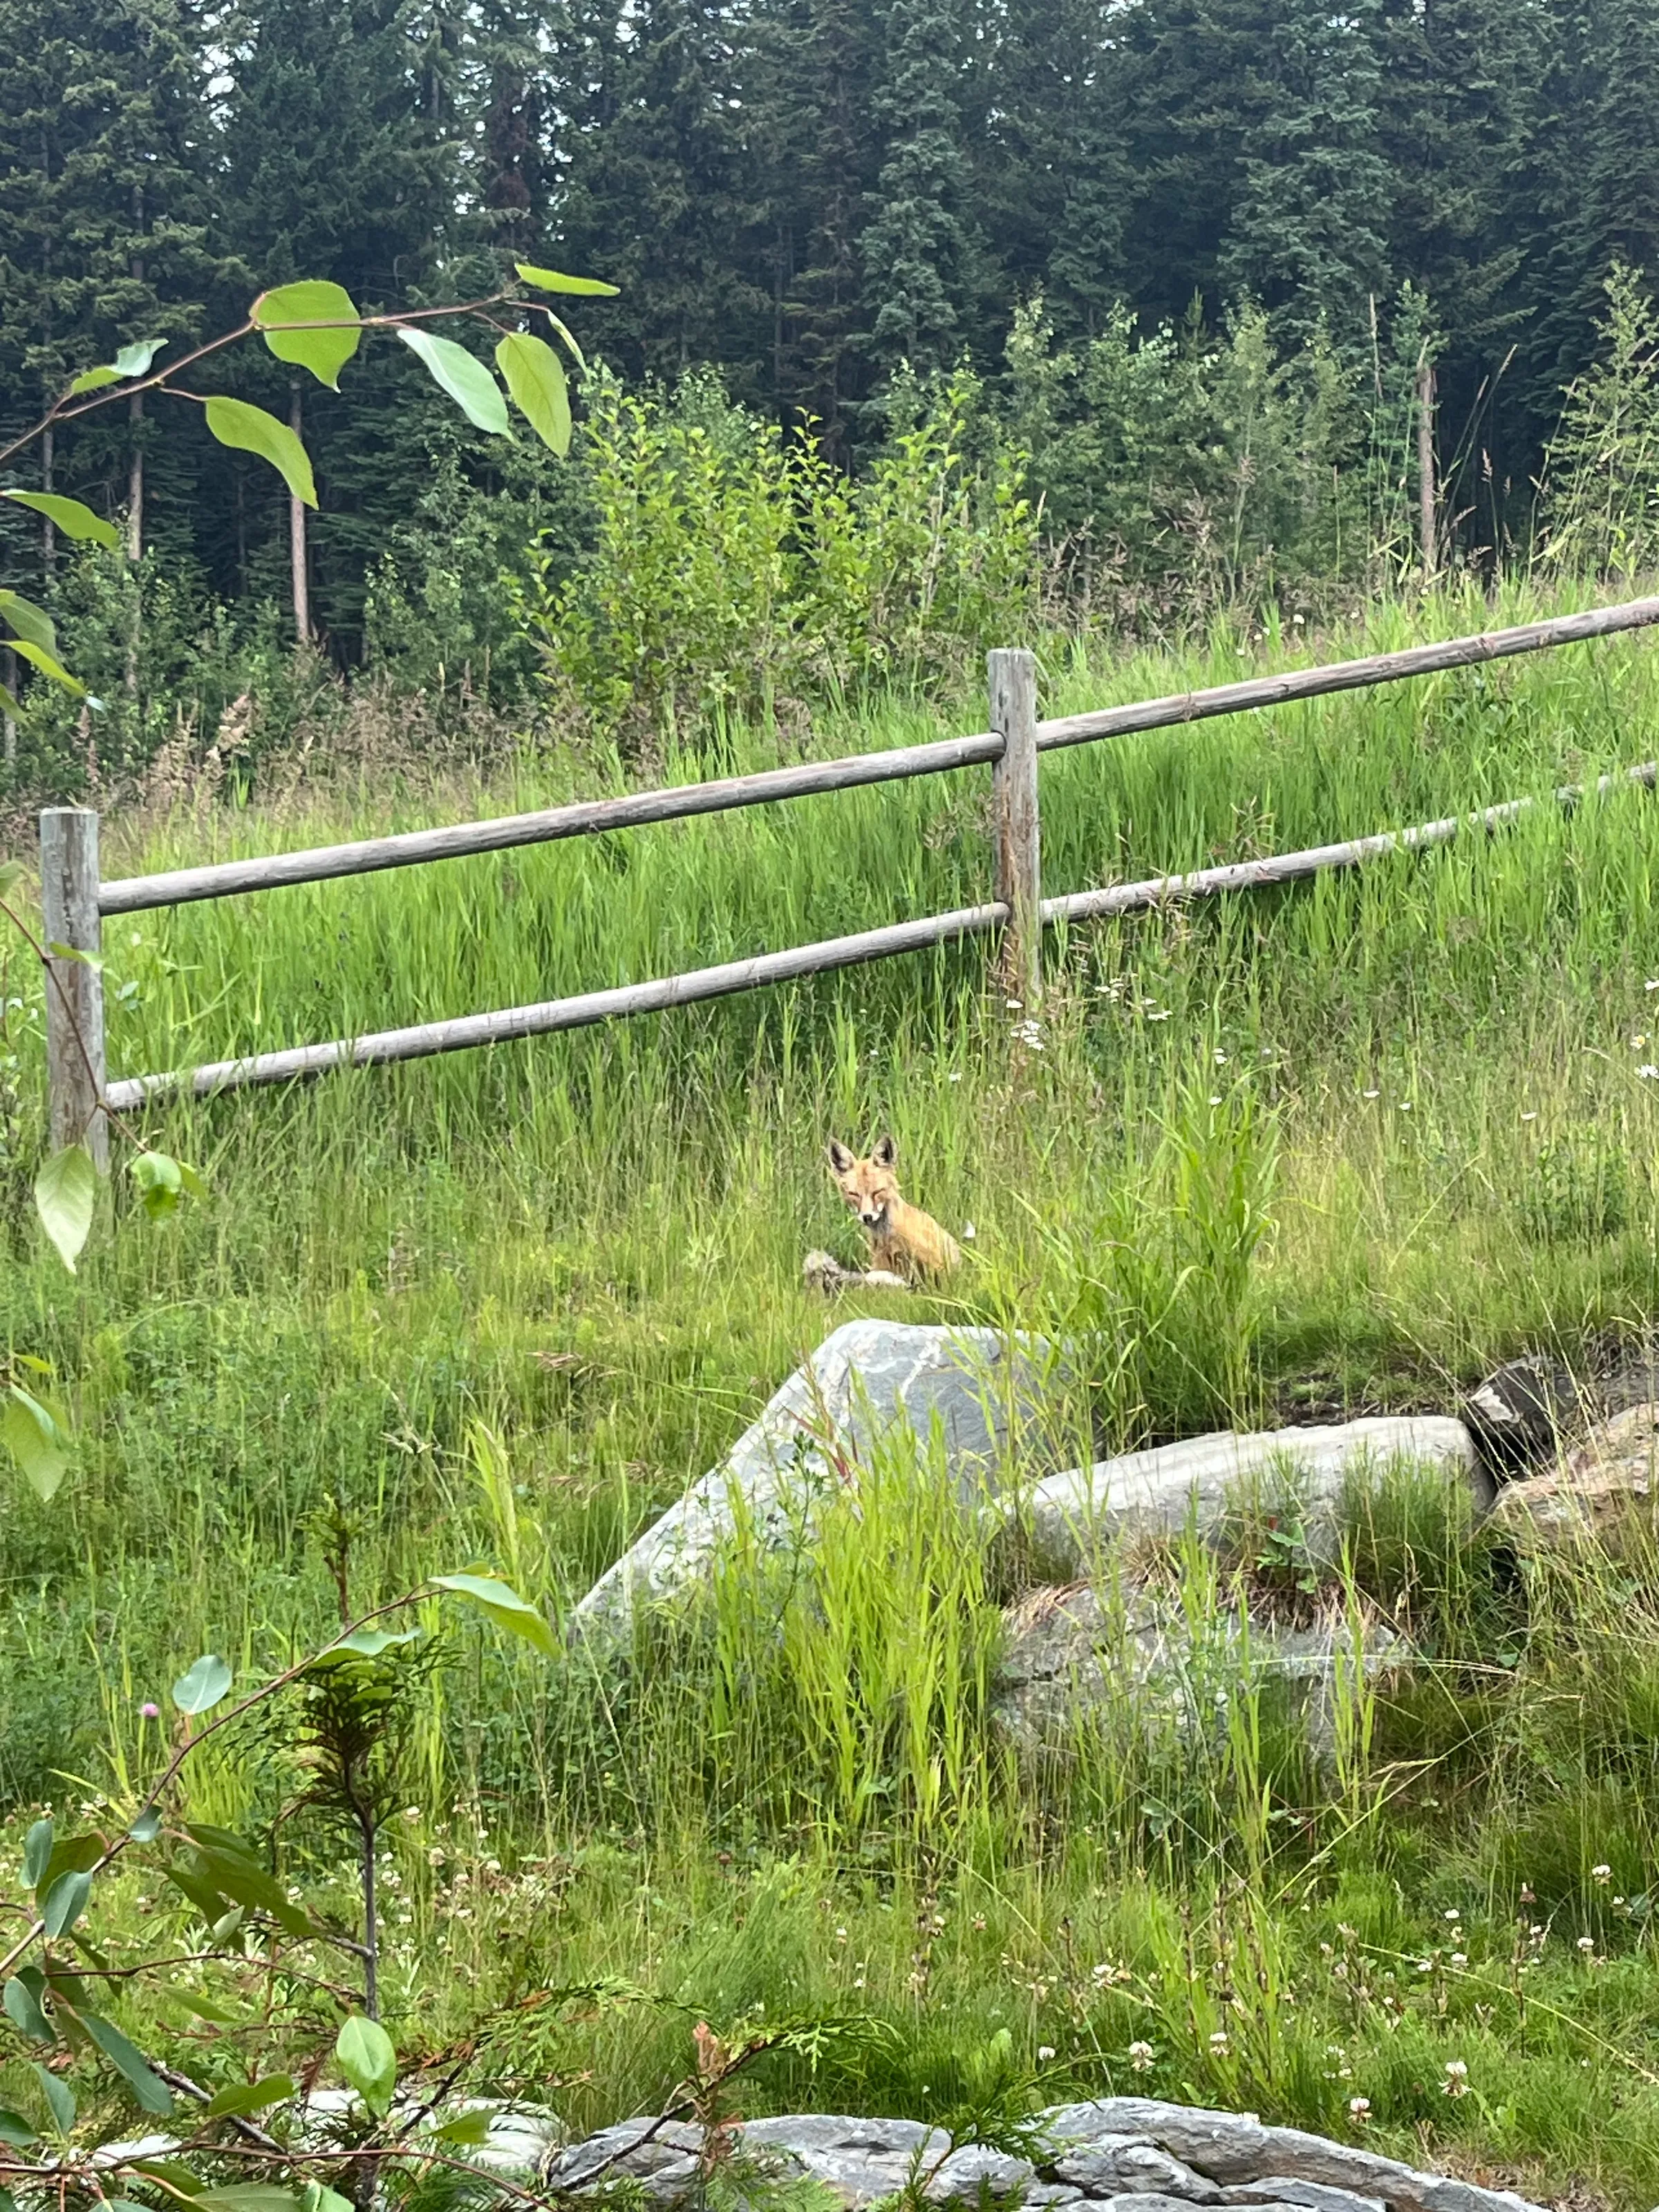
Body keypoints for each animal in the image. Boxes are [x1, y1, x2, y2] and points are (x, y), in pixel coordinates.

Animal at [804, 1134, 963, 1293]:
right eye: (854, 1194)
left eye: (877, 1192)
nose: (867, 1217)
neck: (888, 1236)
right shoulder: (882, 1262)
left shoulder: (935, 1263)